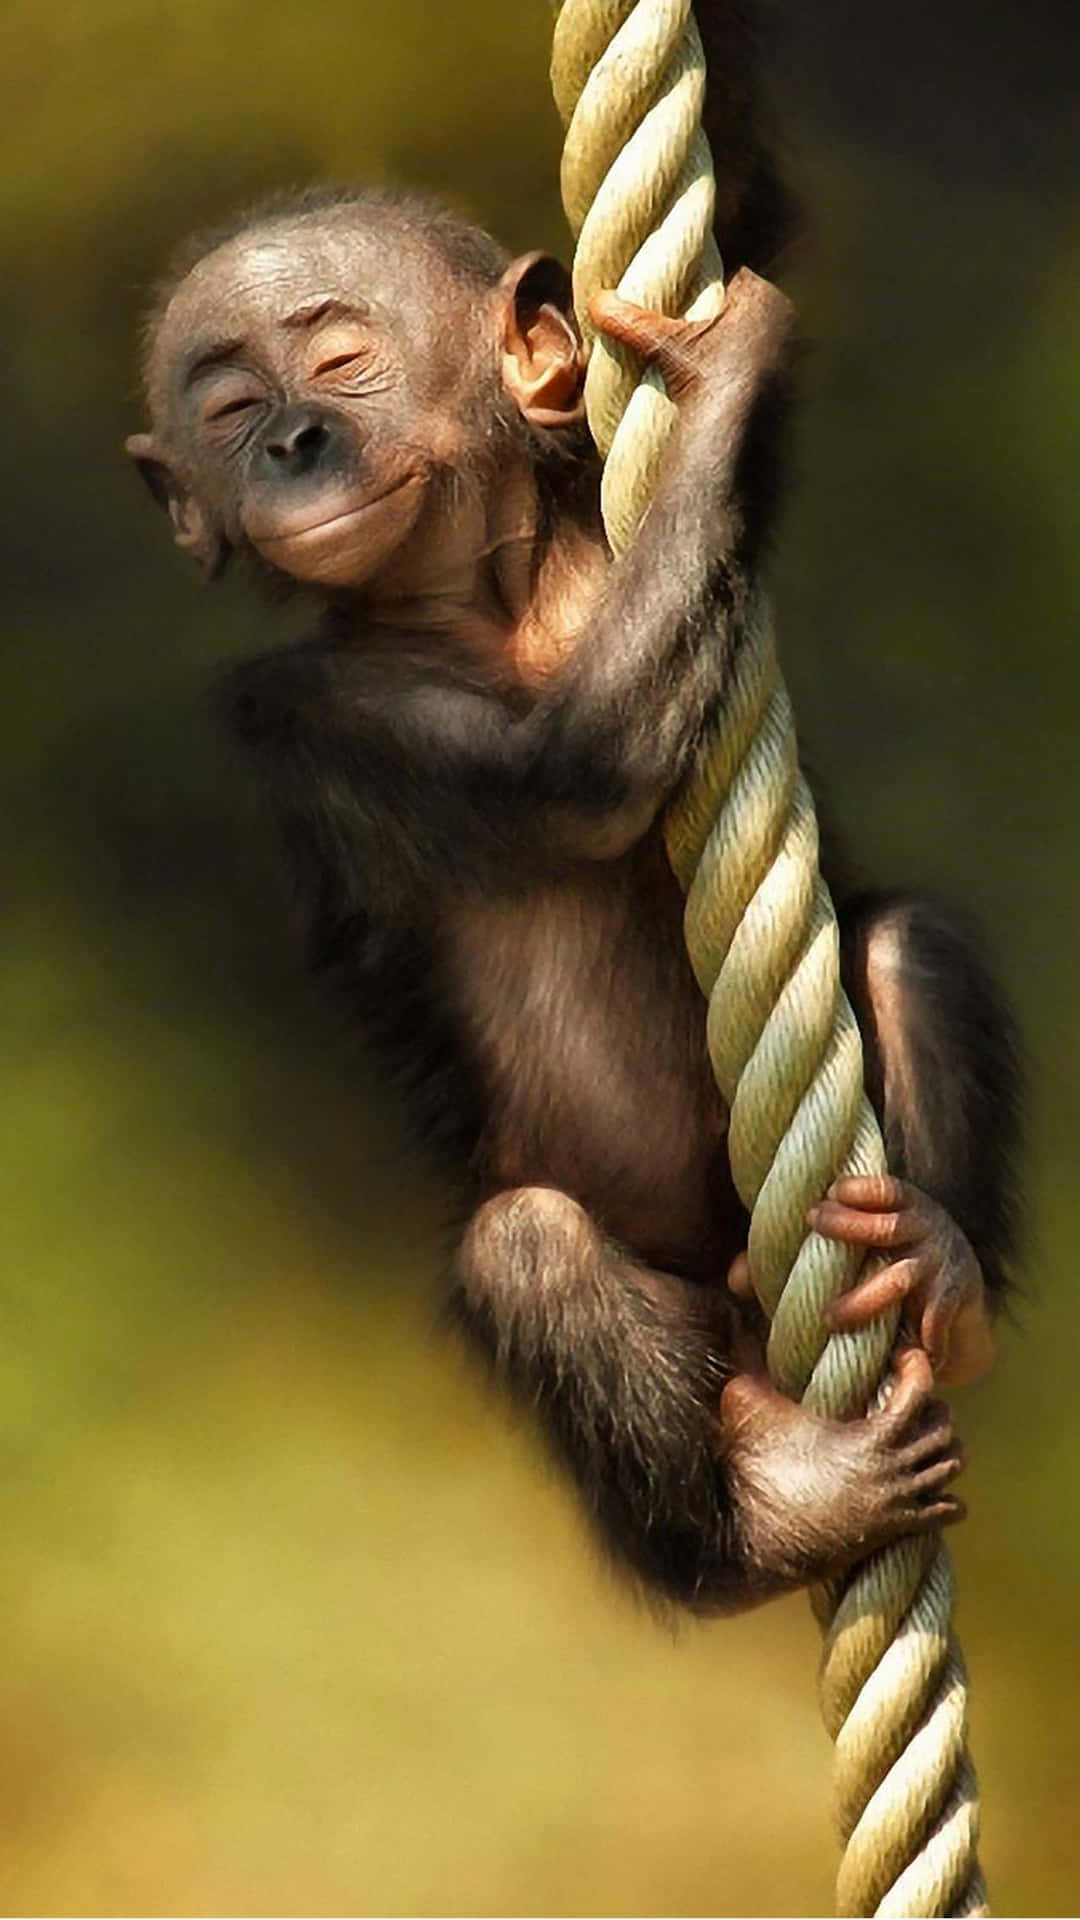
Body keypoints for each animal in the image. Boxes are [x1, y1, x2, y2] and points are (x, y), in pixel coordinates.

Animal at [125, 180, 1019, 1615]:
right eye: (229, 407)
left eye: (340, 360)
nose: (292, 441)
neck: (488, 601)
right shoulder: (305, 710)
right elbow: (575, 768)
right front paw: (719, 382)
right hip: (688, 1358)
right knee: (529, 1254)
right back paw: (779, 1514)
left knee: (903, 945)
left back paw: (941, 1271)